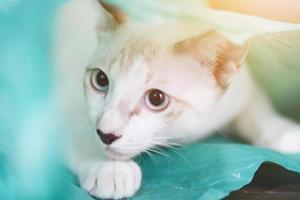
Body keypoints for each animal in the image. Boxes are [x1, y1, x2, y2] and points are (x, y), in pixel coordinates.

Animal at [54, 0, 300, 199]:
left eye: (156, 98)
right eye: (101, 80)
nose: (106, 134)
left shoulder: (241, 90)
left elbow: (256, 110)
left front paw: (284, 133)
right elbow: (79, 133)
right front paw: (108, 167)